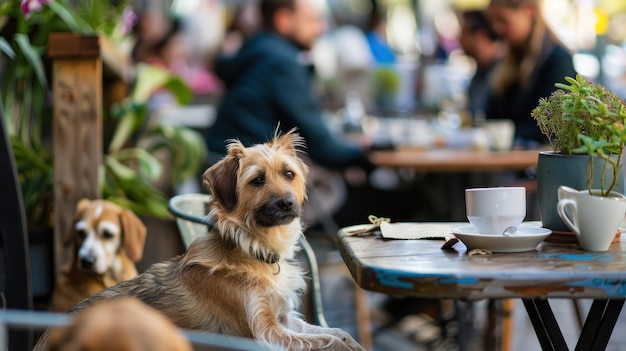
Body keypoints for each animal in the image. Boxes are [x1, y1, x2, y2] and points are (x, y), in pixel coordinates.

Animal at [34, 131, 364, 351]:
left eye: (289, 174)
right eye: (257, 180)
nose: (287, 203)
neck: (254, 250)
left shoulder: (282, 317)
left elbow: (339, 333)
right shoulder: (266, 333)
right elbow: (329, 341)